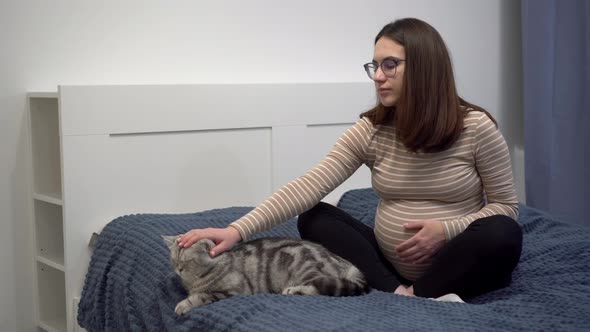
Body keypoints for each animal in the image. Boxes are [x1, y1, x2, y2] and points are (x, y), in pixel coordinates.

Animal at [162, 236, 370, 314]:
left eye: (187, 261)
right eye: (174, 260)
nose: (178, 269)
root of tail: (344, 263)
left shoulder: (231, 290)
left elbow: (200, 297)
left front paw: (183, 305)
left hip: (306, 268)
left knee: (317, 287)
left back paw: (293, 290)